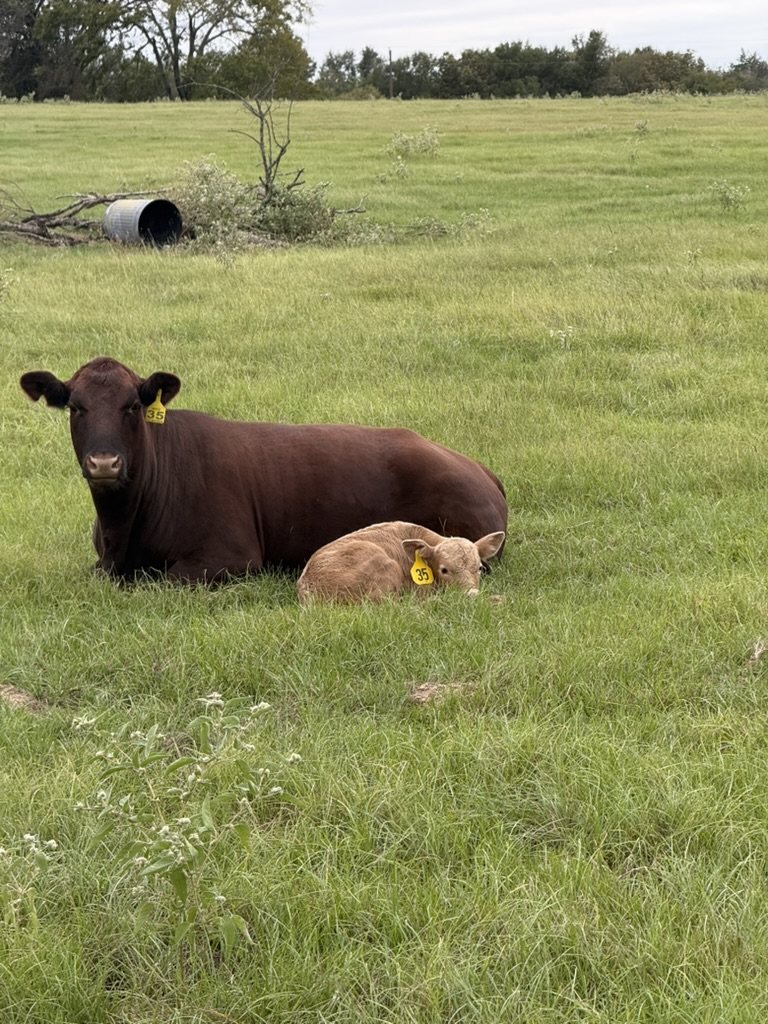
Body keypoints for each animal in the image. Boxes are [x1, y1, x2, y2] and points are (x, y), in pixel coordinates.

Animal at [19, 357, 508, 583]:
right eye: (76, 407)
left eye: (133, 406)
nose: (104, 462)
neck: (123, 528)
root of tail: (477, 467)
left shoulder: (231, 558)